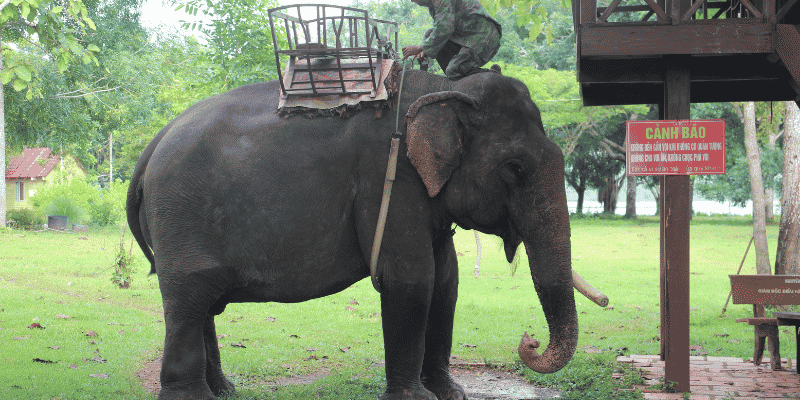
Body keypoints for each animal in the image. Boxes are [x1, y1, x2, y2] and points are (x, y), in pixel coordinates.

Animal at [126, 66, 578, 400]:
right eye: (514, 168)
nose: (529, 341)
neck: (442, 87)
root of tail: (152, 145)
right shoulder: (388, 177)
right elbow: (411, 279)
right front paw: (415, 398)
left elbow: (446, 282)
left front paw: (450, 393)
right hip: (180, 214)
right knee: (190, 296)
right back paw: (193, 396)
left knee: (201, 301)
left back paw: (224, 391)